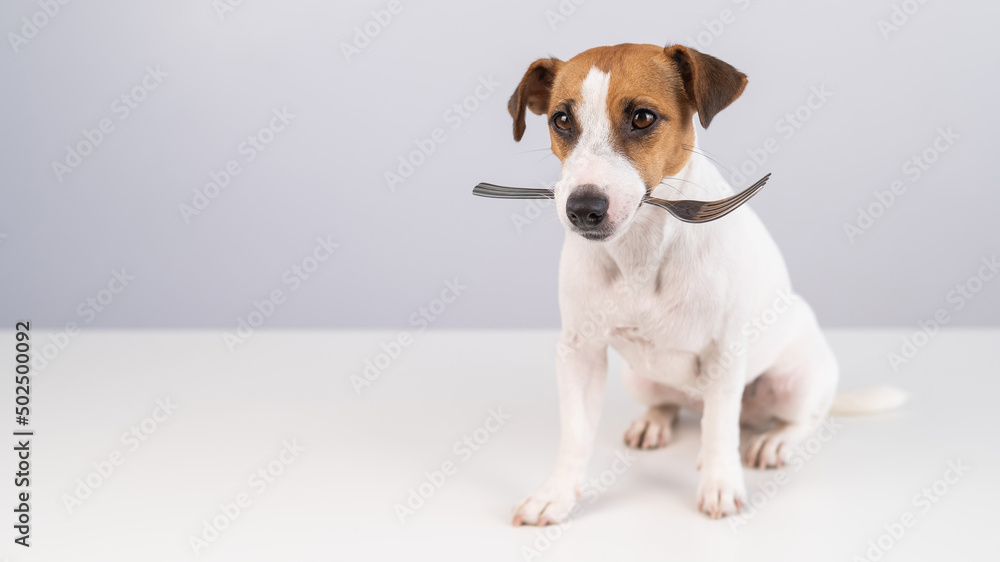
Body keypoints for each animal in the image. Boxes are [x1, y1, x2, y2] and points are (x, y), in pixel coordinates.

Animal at [504, 42, 904, 520]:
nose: (583, 208)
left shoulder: (724, 351)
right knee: (674, 403)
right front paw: (557, 494)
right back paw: (654, 420)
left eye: (643, 117)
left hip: (795, 381)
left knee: (800, 419)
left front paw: (720, 484)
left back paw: (775, 441)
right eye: (561, 120)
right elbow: (576, 434)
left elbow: (718, 431)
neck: (643, 249)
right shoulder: (580, 351)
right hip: (639, 378)